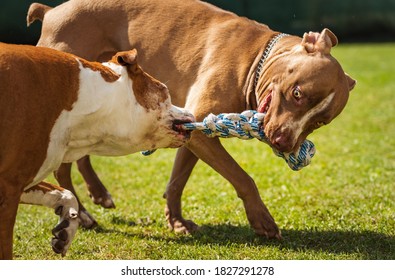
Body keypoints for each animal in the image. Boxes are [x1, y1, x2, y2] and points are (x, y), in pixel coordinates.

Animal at [0, 43, 195, 260]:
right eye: (165, 91)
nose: (191, 112)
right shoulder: (8, 189)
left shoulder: (21, 181)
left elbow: (65, 193)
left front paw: (67, 227)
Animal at [27, 0, 356, 241]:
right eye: (298, 93)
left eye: (320, 122)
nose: (284, 143)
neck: (256, 56)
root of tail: (52, 11)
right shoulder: (200, 128)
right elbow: (243, 178)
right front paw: (262, 219)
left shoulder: (192, 130)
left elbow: (177, 180)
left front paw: (176, 221)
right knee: (62, 168)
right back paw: (81, 214)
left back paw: (98, 193)